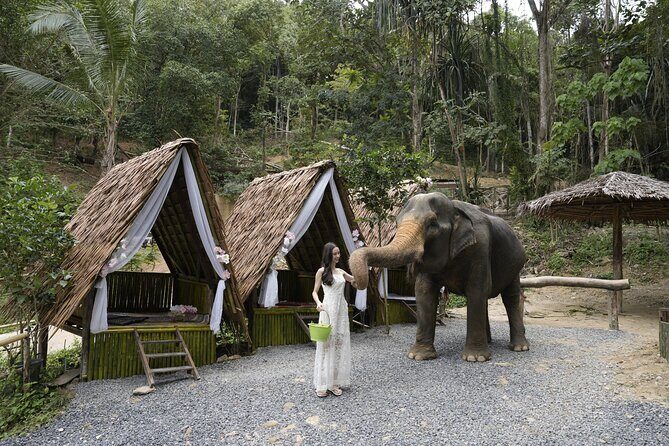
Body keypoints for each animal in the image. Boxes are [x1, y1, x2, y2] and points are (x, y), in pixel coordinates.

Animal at [350, 192, 529, 362]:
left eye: (432, 224)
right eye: (397, 223)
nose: (354, 281)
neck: (454, 208)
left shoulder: (480, 248)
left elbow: (477, 290)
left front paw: (475, 358)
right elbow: (424, 292)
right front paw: (418, 356)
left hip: (516, 264)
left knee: (510, 297)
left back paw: (519, 347)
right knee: (486, 301)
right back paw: (490, 342)